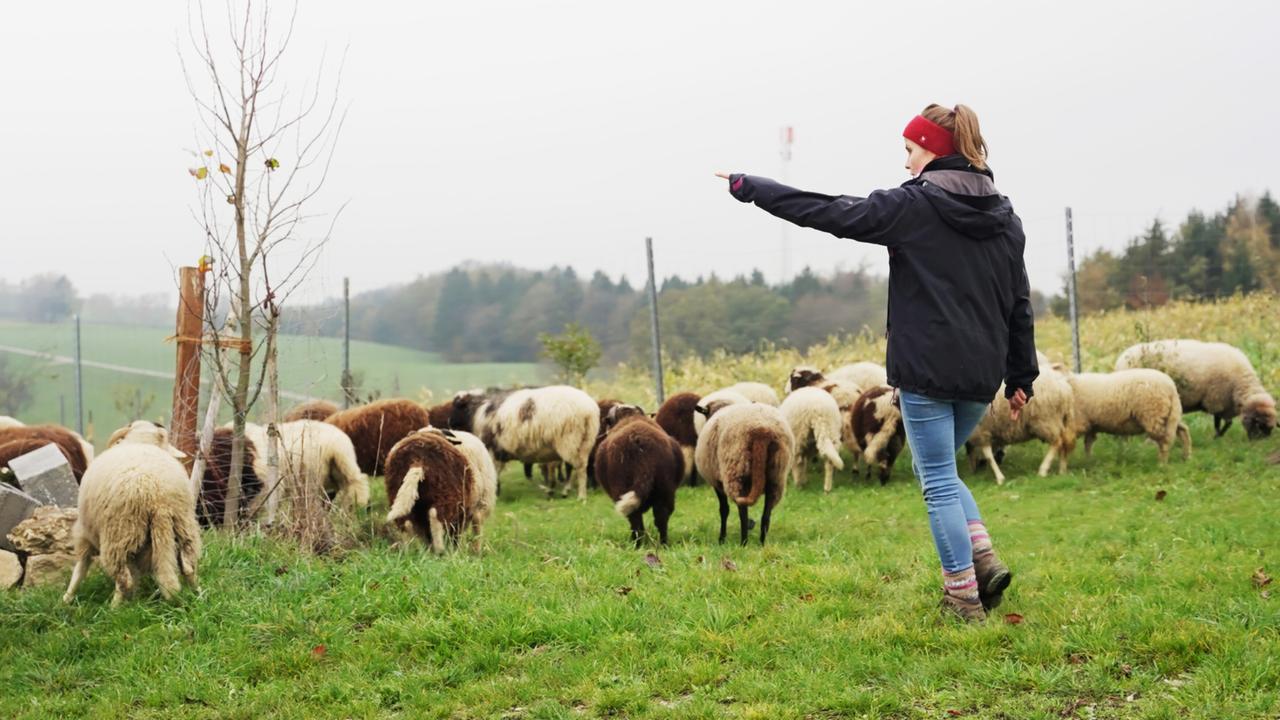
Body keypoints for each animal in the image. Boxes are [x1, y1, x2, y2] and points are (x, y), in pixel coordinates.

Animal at [62, 421, 201, 606]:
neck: (141, 440)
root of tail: (158, 497)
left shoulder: (85, 532)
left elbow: (81, 566)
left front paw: (67, 598)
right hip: (184, 526)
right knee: (188, 567)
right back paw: (198, 594)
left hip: (119, 533)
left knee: (123, 579)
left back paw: (114, 608)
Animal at [449, 385, 600, 500]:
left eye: (457, 405)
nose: (449, 423)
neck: (477, 410)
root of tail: (589, 410)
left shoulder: (493, 449)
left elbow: (495, 473)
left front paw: (496, 492)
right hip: (585, 441)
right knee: (579, 465)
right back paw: (566, 491)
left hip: (569, 440)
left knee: (577, 467)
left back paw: (580, 495)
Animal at [591, 404, 682, 547]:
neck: (630, 415)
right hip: (665, 489)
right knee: (662, 517)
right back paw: (663, 544)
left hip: (622, 488)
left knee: (635, 519)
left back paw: (636, 544)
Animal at [695, 402, 795, 546]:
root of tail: (761, 430)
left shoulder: (717, 483)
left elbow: (724, 510)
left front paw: (721, 539)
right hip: (776, 475)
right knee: (766, 515)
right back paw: (762, 543)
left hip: (736, 471)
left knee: (742, 511)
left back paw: (743, 542)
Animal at [1116, 339, 1276, 440]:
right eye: (1260, 424)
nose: (1261, 443)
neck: (1241, 383)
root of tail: (1121, 359)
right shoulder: (1216, 399)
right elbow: (1219, 422)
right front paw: (1217, 436)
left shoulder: (1224, 404)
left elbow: (1227, 423)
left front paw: (1219, 436)